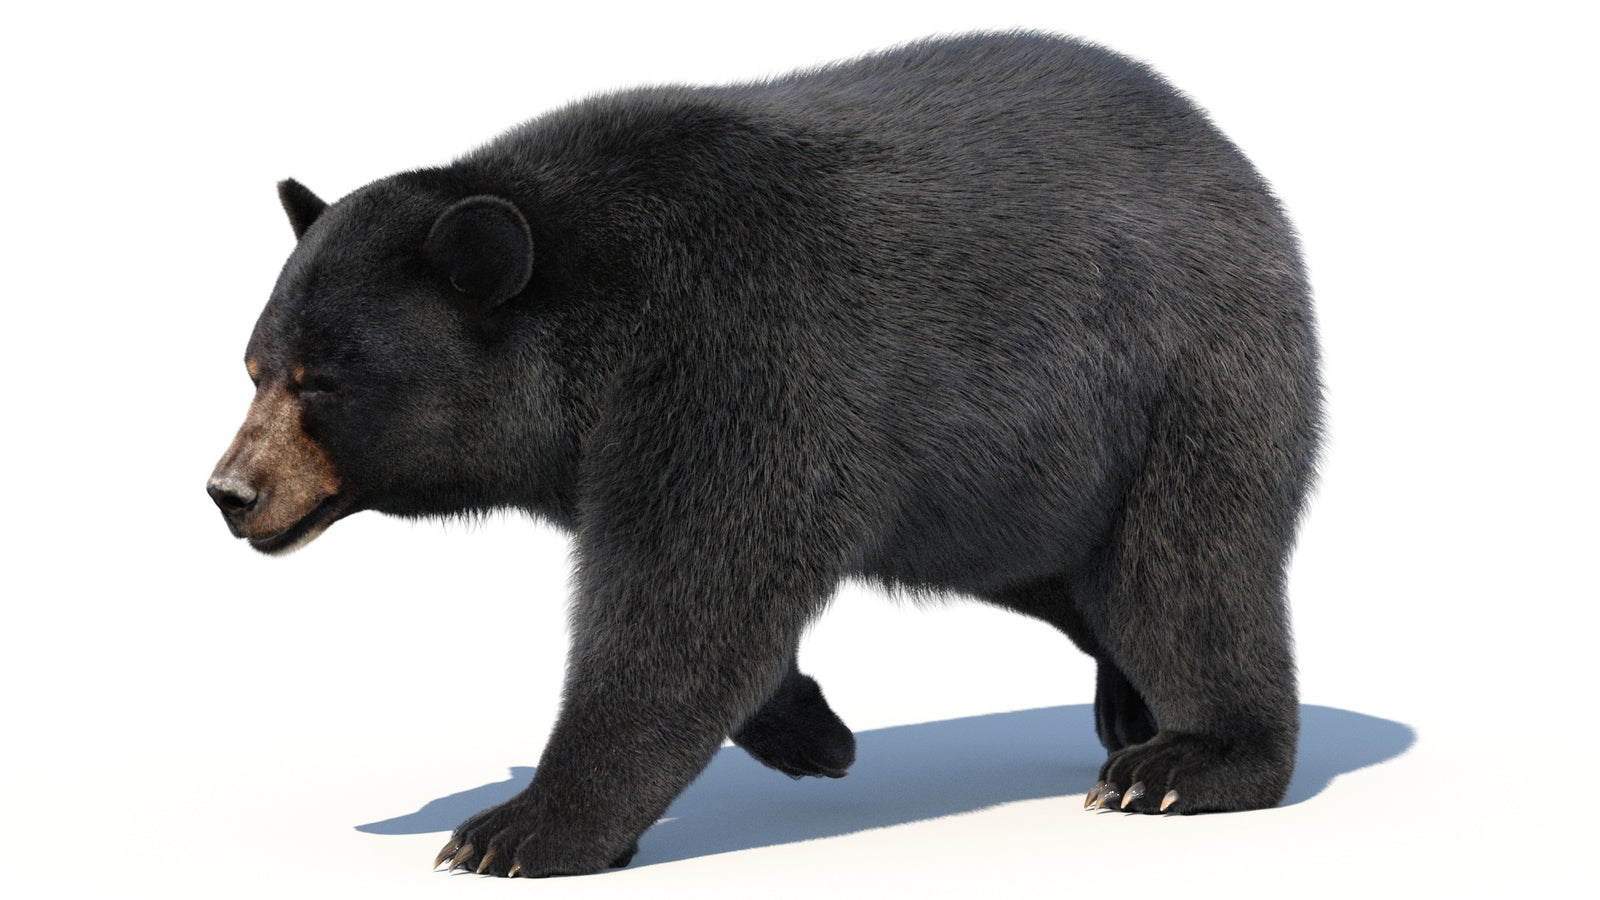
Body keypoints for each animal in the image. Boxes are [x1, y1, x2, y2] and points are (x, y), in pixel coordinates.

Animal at [207, 32, 1321, 877]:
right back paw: (1127, 710)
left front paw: (518, 830)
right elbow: (719, 598)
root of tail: (1234, 162)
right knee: (1084, 585)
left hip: (1179, 382)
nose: (231, 492)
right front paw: (814, 732)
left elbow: (692, 589)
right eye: (253, 366)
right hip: (1010, 493)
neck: (588, 318)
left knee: (1187, 571)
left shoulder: (737, 349)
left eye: (320, 382)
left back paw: (1184, 761)